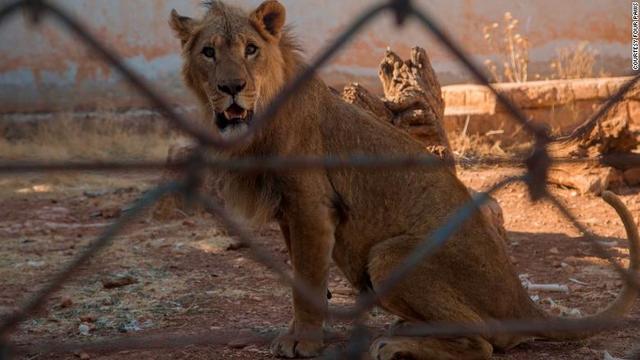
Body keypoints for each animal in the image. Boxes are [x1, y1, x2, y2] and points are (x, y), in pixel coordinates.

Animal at [170, 1, 640, 358]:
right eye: (208, 52)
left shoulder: (311, 208)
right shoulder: (290, 212)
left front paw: (302, 342)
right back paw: (402, 331)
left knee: (483, 343)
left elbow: (307, 283)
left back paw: (395, 345)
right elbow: (303, 278)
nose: (232, 87)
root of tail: (520, 299)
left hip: (389, 256)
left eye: (251, 49)